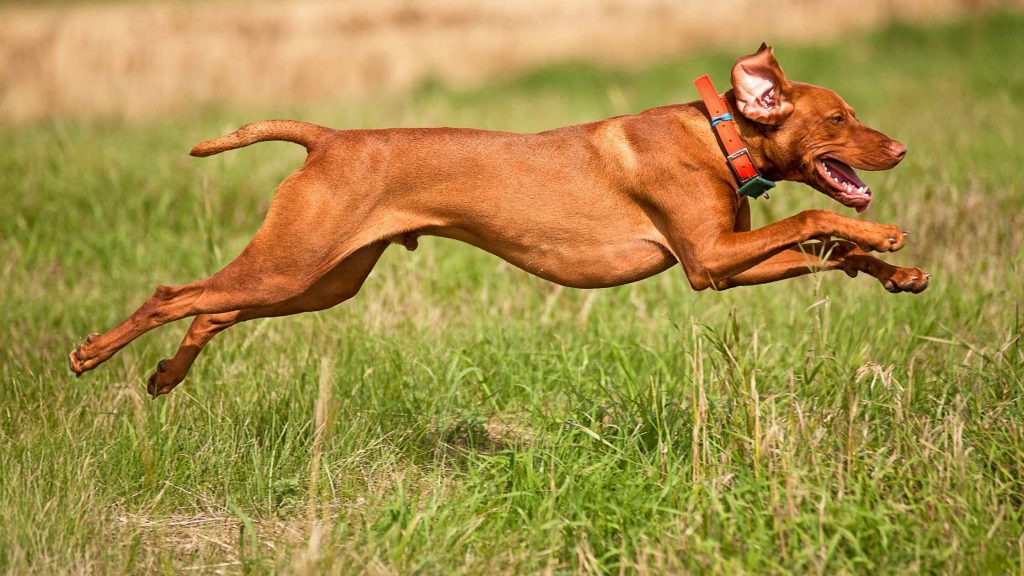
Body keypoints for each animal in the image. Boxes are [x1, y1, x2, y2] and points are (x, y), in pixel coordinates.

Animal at [66, 43, 929, 393]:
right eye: (841, 118)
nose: (902, 146)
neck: (718, 136)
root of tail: (331, 137)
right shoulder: (709, 256)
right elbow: (816, 219)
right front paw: (885, 235)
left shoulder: (722, 265)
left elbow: (825, 245)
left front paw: (900, 272)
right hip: (295, 263)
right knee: (175, 295)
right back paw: (91, 352)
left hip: (318, 280)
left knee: (214, 310)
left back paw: (167, 375)